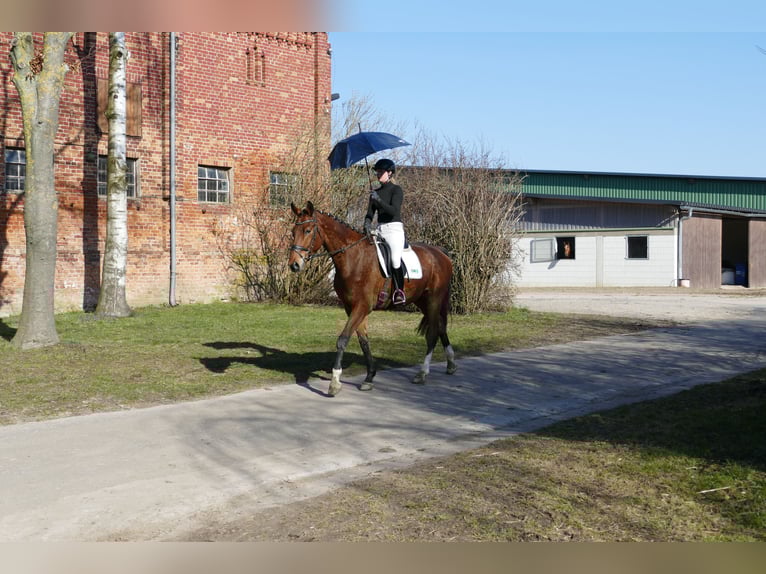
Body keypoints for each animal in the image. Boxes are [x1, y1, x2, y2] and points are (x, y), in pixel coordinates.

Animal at [288, 201, 457, 396]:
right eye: (293, 232)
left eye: (308, 230)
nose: (294, 265)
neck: (353, 257)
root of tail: (440, 252)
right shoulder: (351, 307)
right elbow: (363, 341)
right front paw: (369, 377)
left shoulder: (362, 306)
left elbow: (343, 339)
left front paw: (335, 382)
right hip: (422, 301)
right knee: (441, 327)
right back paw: (451, 364)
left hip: (433, 300)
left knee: (433, 333)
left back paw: (423, 373)